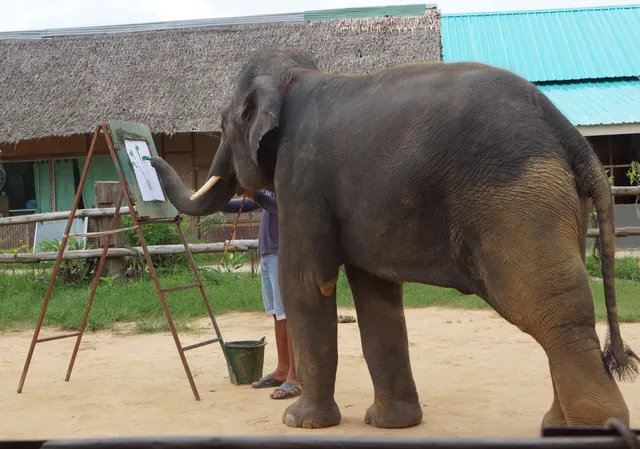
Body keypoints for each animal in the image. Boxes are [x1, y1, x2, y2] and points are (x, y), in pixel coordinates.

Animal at [151, 50, 639, 430]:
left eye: (223, 123)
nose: (149, 156)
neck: (298, 74)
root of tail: (570, 134)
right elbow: (376, 293)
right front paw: (391, 424)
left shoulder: (303, 176)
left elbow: (307, 282)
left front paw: (299, 422)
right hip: (558, 203)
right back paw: (556, 425)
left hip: (519, 203)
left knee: (551, 310)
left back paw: (591, 428)